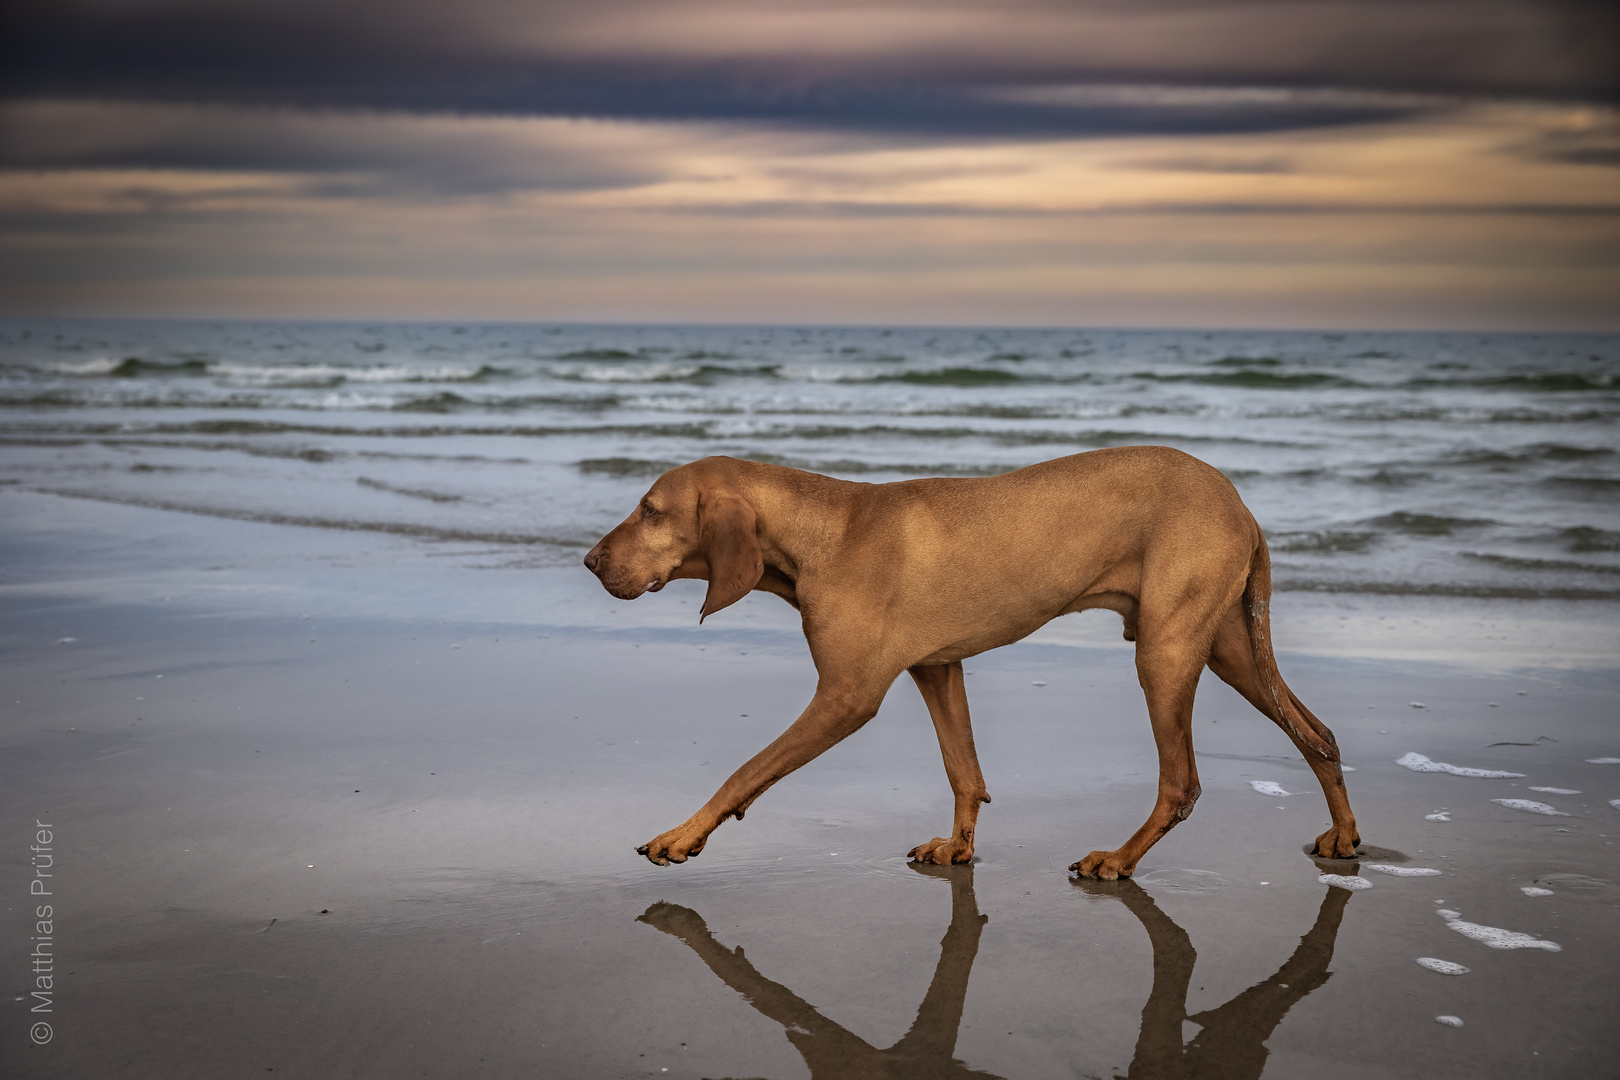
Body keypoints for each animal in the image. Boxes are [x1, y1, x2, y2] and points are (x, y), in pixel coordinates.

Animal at [583, 446, 1354, 880]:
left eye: (650, 510)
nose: (589, 561)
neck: (823, 531)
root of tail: (1240, 504)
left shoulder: (845, 697)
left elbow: (746, 769)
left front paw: (681, 835)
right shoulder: (937, 669)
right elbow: (965, 773)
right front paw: (959, 848)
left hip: (1166, 654)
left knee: (1183, 782)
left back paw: (1118, 860)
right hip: (1225, 648)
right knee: (1319, 734)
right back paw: (1345, 836)